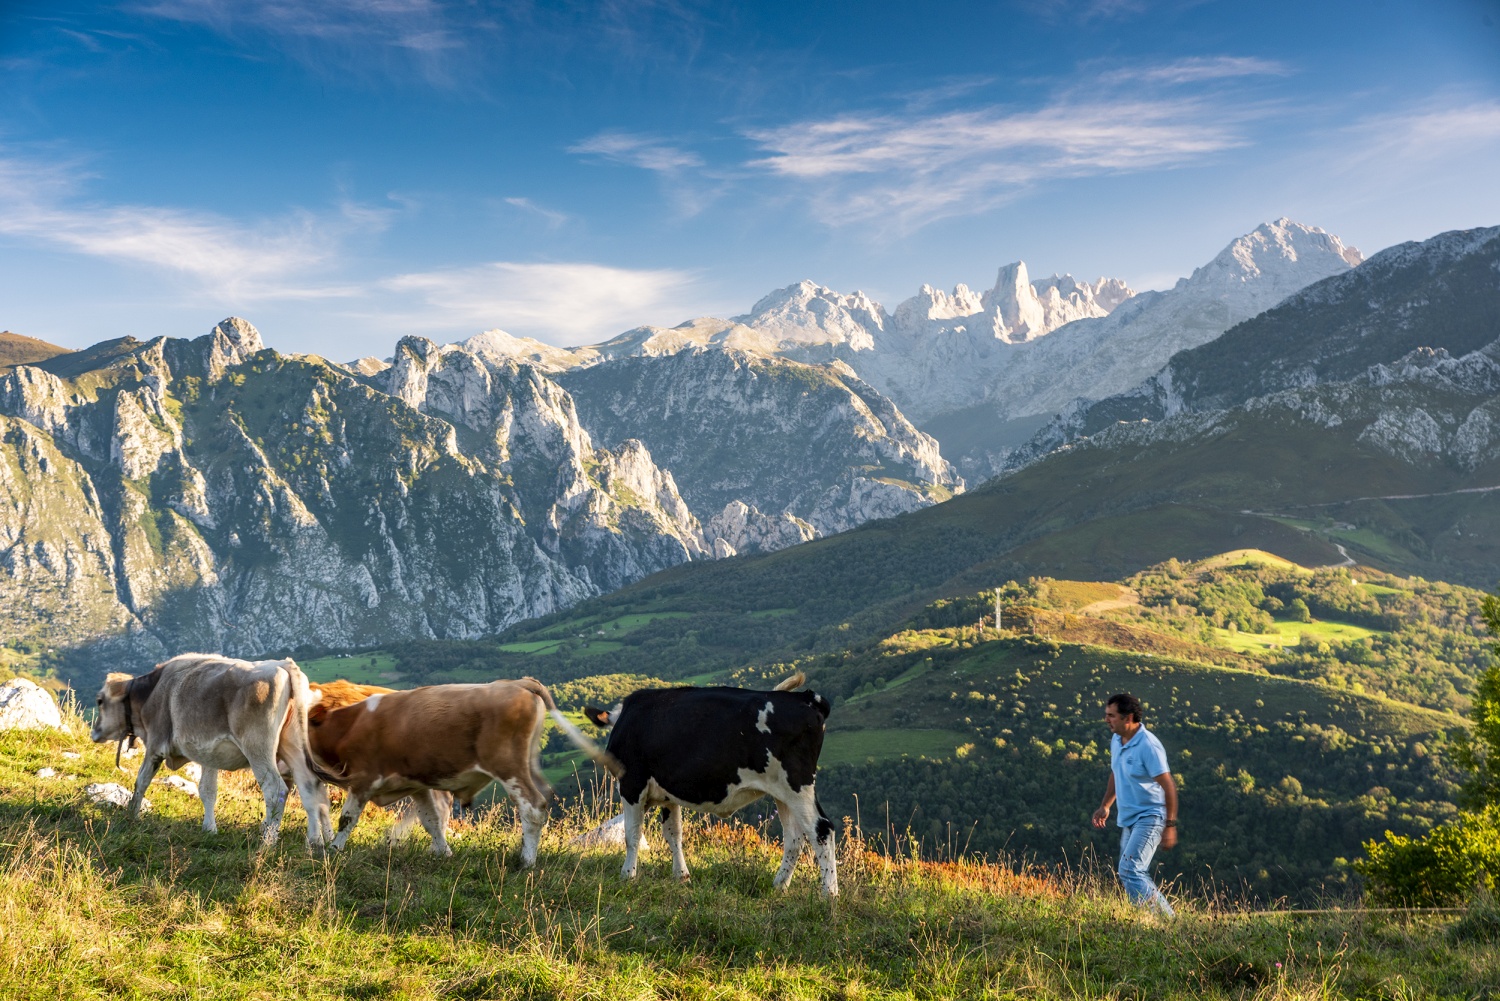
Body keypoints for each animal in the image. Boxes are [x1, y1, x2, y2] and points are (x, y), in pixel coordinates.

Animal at [92, 654, 333, 852]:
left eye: (100, 700)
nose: (94, 732)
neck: (152, 692)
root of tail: (282, 664)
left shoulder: (155, 744)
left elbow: (141, 780)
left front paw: (132, 815)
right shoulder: (208, 754)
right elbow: (207, 791)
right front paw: (209, 829)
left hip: (258, 748)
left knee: (276, 790)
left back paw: (267, 843)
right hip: (292, 746)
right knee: (310, 788)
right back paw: (315, 843)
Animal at [304, 678, 615, 864]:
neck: (349, 724)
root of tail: (517, 682)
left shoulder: (363, 779)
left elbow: (347, 818)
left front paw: (334, 849)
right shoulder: (416, 786)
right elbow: (431, 820)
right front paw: (443, 851)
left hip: (509, 766)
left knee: (533, 806)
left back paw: (526, 860)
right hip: (529, 764)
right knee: (545, 795)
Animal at [579, 678, 840, 894]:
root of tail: (806, 698)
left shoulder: (632, 785)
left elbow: (632, 834)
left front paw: (628, 876)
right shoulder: (668, 796)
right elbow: (673, 834)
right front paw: (681, 876)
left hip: (797, 784)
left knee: (821, 829)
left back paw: (829, 894)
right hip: (782, 793)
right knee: (795, 837)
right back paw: (779, 886)